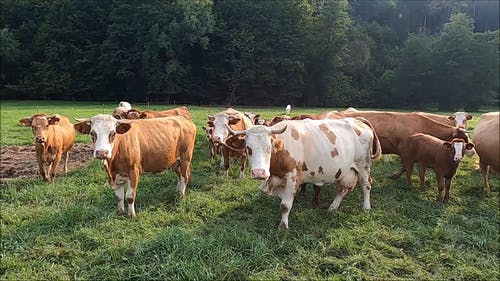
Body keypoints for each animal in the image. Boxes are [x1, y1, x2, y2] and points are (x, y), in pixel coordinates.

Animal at [225, 117, 380, 229]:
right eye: (248, 148)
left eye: (269, 147)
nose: (259, 173)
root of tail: (358, 120)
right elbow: (283, 199)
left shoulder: (293, 177)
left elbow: (285, 205)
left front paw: (283, 226)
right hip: (344, 171)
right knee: (342, 190)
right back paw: (332, 208)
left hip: (364, 165)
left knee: (366, 185)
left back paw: (366, 207)